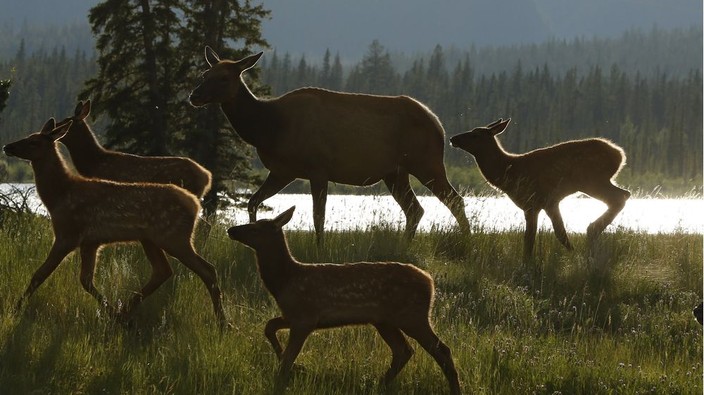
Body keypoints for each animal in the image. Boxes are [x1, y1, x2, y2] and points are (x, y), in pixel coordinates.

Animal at [2, 119, 227, 330]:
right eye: (28, 136)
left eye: (34, 141)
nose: (7, 146)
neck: (58, 196)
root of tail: (194, 203)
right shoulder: (91, 242)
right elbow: (86, 280)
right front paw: (111, 313)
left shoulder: (67, 233)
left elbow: (39, 274)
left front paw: (15, 309)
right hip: (151, 239)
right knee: (163, 271)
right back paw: (124, 315)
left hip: (174, 236)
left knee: (207, 269)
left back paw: (223, 322)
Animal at [190, 46, 470, 241]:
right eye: (205, 73)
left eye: (224, 77)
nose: (194, 95)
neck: (268, 129)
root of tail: (439, 125)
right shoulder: (282, 171)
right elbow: (252, 202)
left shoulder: (318, 168)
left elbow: (318, 216)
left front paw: (320, 248)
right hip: (395, 173)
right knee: (415, 209)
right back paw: (406, 244)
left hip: (427, 162)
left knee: (455, 200)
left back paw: (466, 244)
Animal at [227, 206, 462, 394]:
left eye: (256, 228)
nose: (231, 230)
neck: (284, 281)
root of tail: (430, 281)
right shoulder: (293, 315)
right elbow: (269, 327)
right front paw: (297, 368)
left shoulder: (306, 316)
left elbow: (287, 358)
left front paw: (290, 373)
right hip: (384, 320)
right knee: (403, 350)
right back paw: (379, 384)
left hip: (412, 315)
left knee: (441, 349)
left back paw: (454, 389)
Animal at [448, 119, 628, 258]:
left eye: (475, 134)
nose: (453, 138)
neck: (509, 171)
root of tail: (620, 154)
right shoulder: (550, 203)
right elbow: (560, 233)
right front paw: (573, 253)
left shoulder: (532, 202)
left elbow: (529, 238)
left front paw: (526, 264)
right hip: (596, 181)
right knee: (624, 194)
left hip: (591, 181)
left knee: (621, 196)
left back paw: (593, 229)